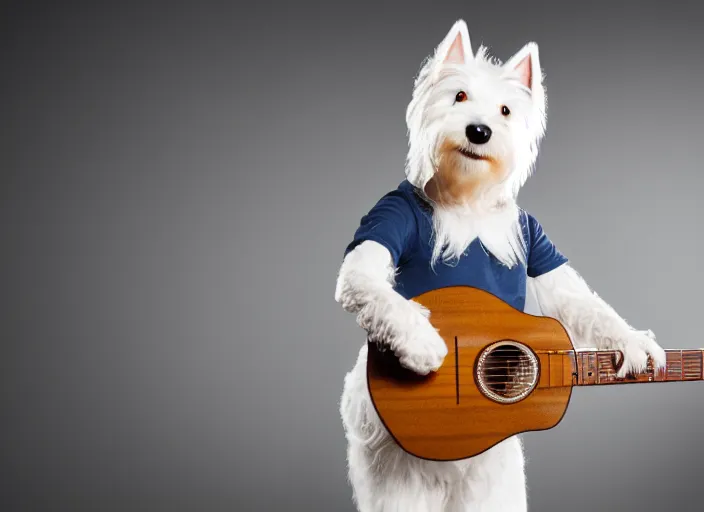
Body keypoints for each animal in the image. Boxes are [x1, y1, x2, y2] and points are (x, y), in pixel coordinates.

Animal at [336, 20, 664, 512]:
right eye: (459, 96)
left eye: (505, 110)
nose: (479, 131)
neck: (466, 197)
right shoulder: (387, 217)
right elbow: (364, 279)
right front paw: (423, 347)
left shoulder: (540, 242)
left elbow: (579, 299)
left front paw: (635, 345)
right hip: (398, 479)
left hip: (491, 483)